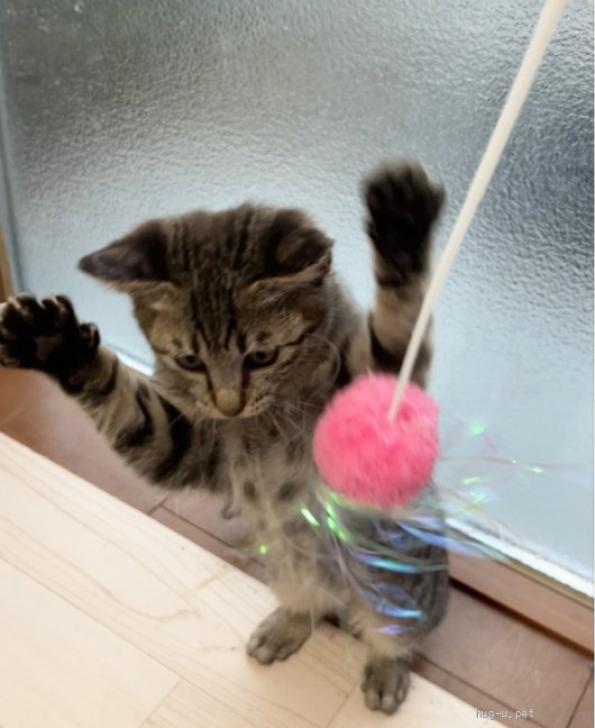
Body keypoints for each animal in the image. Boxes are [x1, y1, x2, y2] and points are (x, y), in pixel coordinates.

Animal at [0, 160, 449, 715]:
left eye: (262, 356)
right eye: (190, 360)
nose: (228, 404)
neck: (259, 422)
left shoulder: (369, 411)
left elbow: (396, 333)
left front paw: (401, 227)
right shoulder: (187, 444)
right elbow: (128, 406)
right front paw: (52, 342)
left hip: (395, 587)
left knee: (394, 635)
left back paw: (386, 671)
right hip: (288, 568)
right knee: (311, 603)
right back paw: (285, 626)